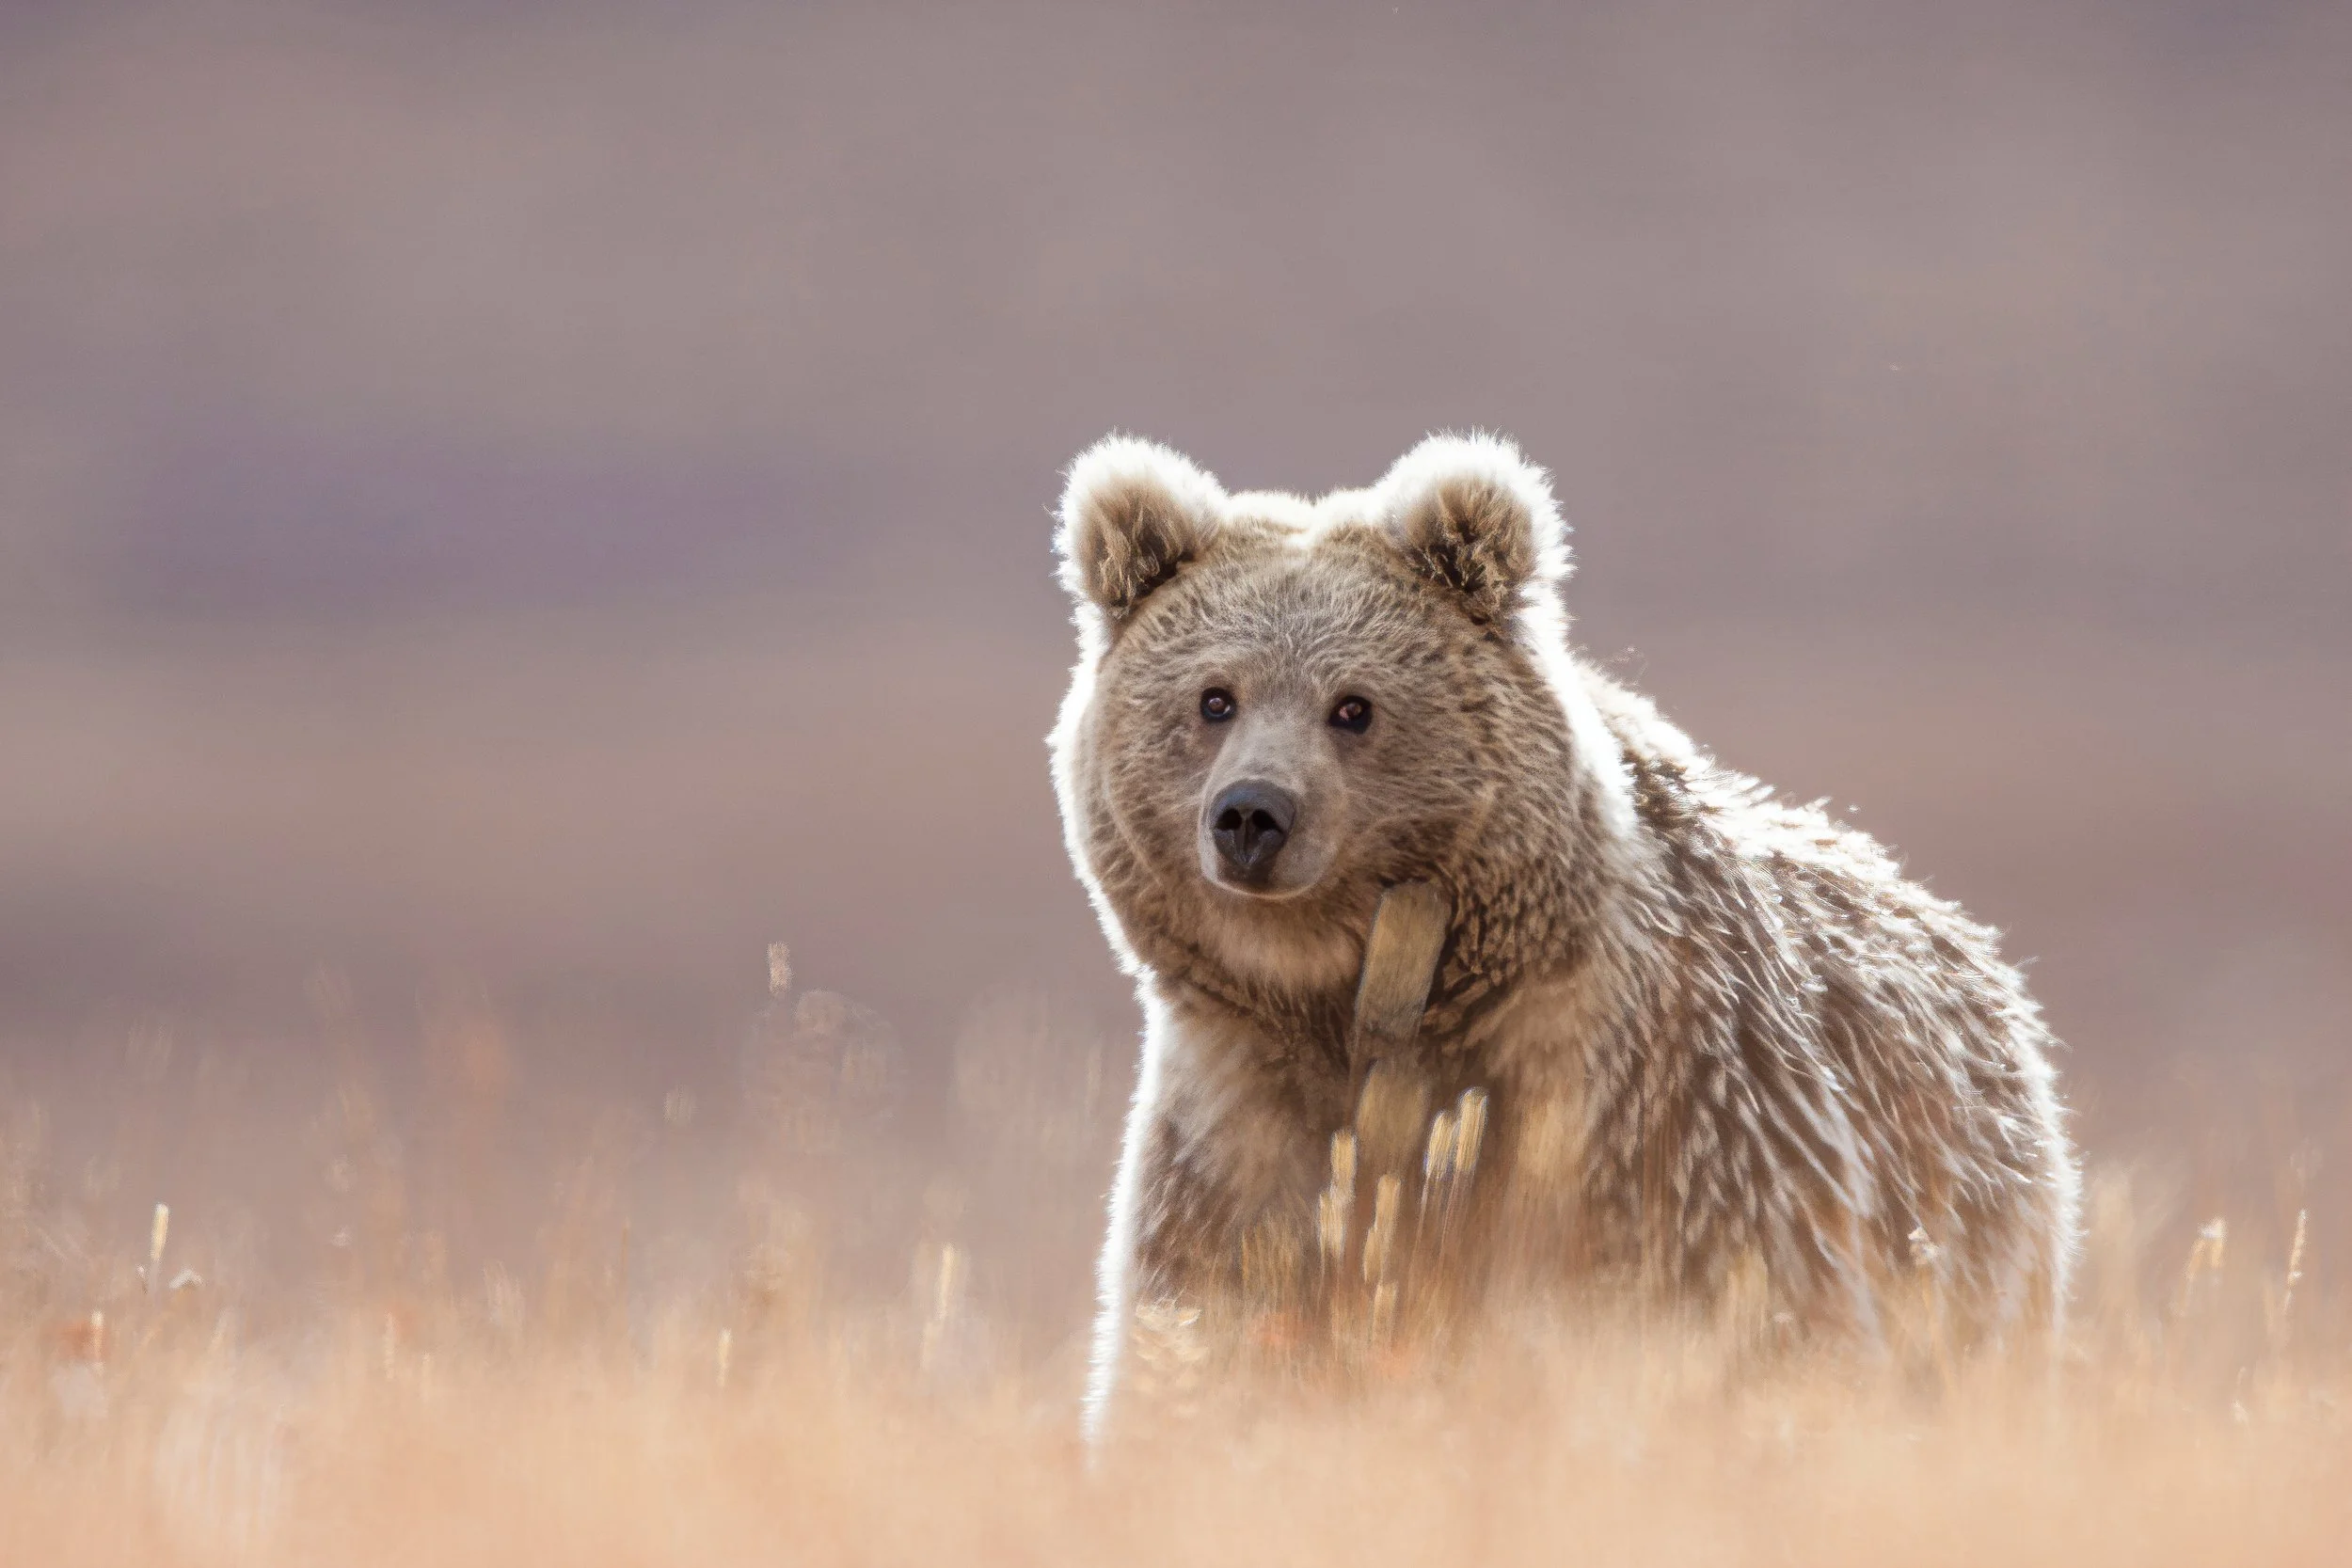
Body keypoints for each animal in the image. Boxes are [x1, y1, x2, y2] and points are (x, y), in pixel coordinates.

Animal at [1049, 431, 2080, 1439]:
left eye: (1353, 705)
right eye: (1214, 697)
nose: (1251, 814)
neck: (1360, 1007)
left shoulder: (1651, 1107)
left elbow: (1749, 1311)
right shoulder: (1236, 1124)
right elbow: (1207, 1329)